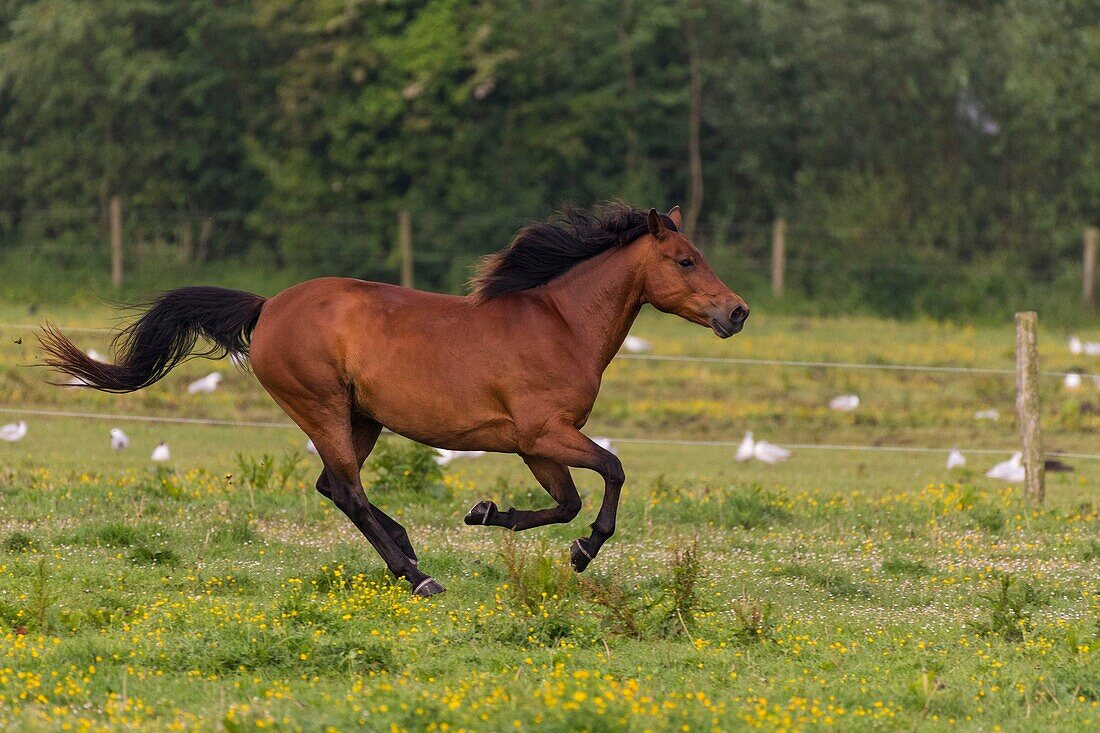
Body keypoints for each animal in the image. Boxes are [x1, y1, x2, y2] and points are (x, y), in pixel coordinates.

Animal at [40, 203, 748, 594]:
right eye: (686, 260)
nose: (737, 311)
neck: (560, 324)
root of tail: (268, 307)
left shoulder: (537, 446)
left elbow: (566, 500)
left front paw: (485, 513)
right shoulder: (542, 434)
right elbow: (611, 472)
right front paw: (582, 552)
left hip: (362, 418)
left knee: (333, 486)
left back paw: (407, 548)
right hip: (323, 406)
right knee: (347, 490)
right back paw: (418, 575)